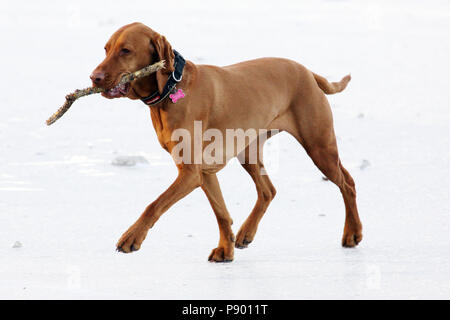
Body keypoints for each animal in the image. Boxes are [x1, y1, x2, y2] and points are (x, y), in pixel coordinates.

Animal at [90, 22, 362, 262]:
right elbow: (221, 213)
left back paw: (353, 233)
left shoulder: (189, 173)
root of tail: (307, 71)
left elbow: (154, 204)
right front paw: (225, 249)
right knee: (268, 190)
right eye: (106, 49)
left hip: (319, 147)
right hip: (249, 151)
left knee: (347, 183)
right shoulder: (203, 172)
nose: (94, 77)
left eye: (126, 50)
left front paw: (132, 237)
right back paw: (246, 233)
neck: (171, 88)